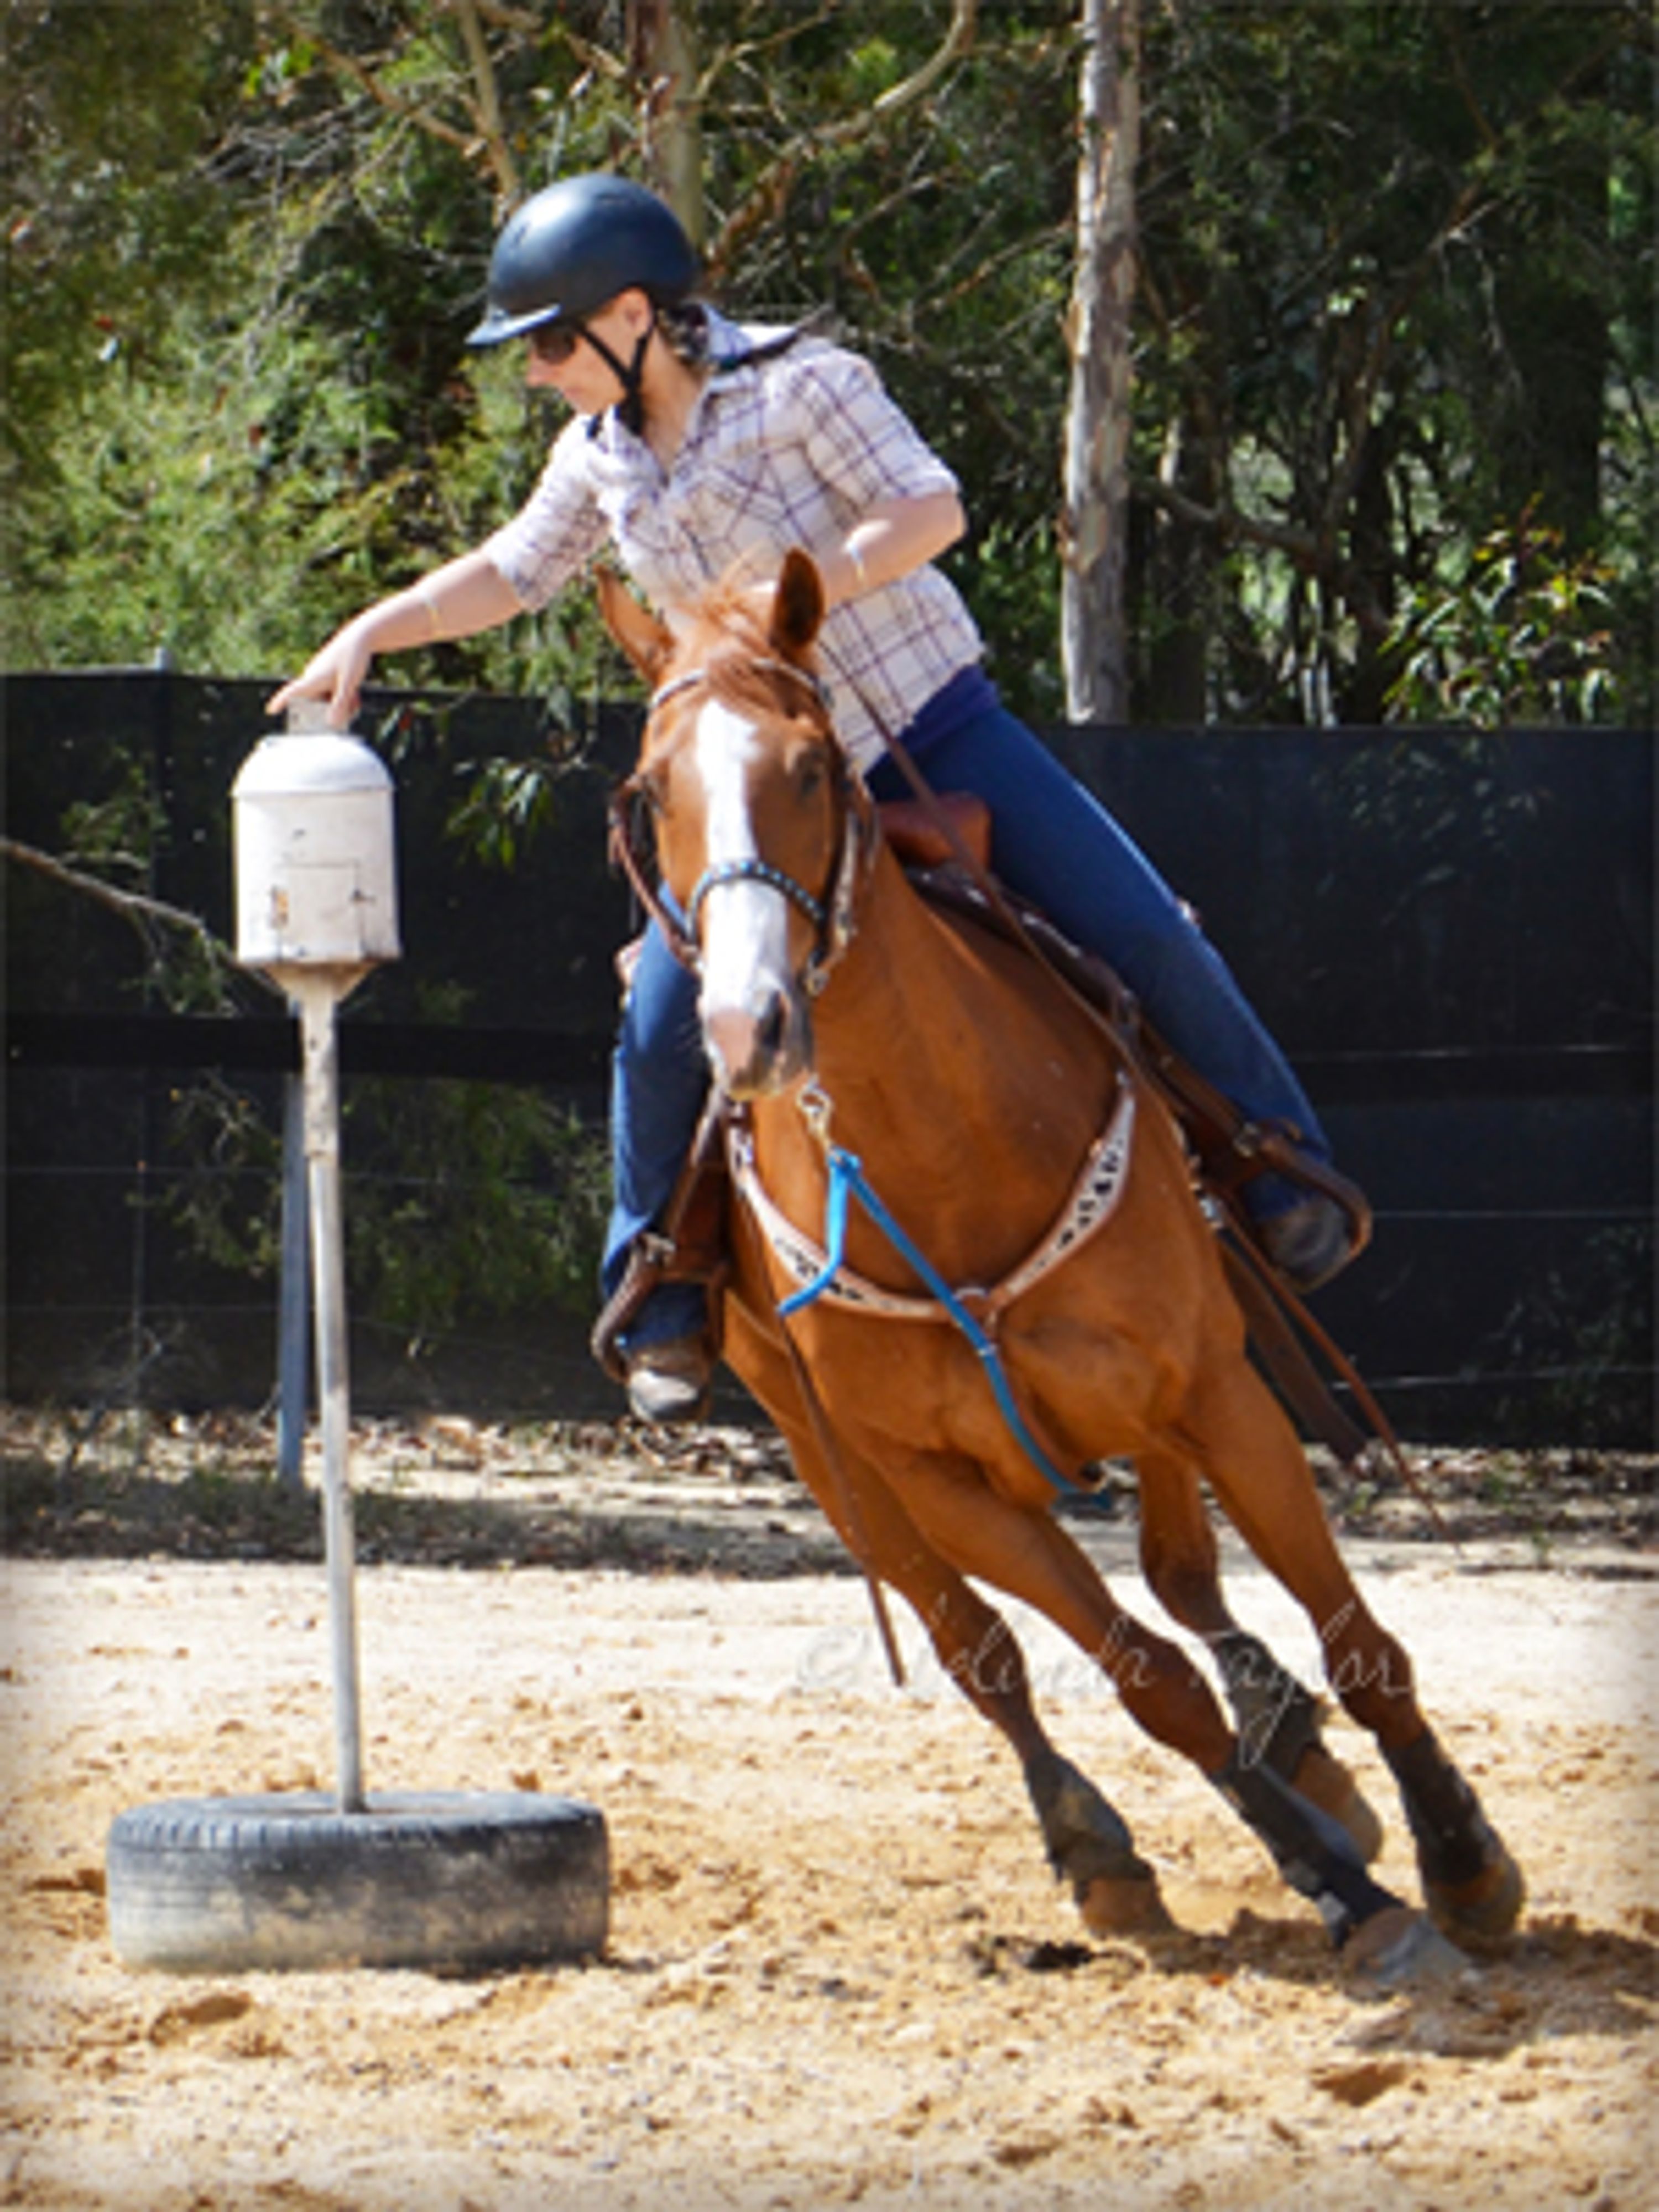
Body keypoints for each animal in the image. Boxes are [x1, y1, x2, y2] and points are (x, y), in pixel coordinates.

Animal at [598, 549, 1524, 1981]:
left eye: (810, 765)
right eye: (652, 792)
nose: (749, 1027)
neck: (944, 1154)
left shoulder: (1213, 1389)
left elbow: (1356, 1639)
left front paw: (1459, 1853)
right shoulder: (939, 1473)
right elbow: (1143, 1681)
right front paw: (1337, 1886)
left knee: (1187, 1576)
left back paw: (1305, 1753)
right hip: (834, 1457)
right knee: (979, 1646)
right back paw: (1106, 1842)